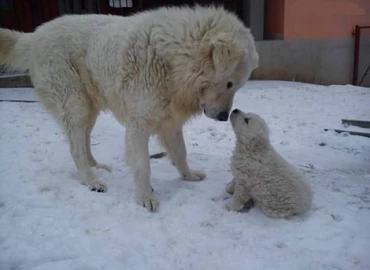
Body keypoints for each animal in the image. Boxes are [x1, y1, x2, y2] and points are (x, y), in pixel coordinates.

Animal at [0, 4, 258, 211]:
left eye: (236, 86)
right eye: (229, 83)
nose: (224, 116)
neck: (173, 61)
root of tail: (35, 35)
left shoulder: (170, 122)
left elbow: (180, 152)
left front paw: (189, 175)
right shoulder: (139, 125)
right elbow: (143, 165)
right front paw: (145, 198)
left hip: (89, 108)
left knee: (84, 139)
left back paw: (96, 166)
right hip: (74, 104)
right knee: (76, 148)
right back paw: (91, 180)